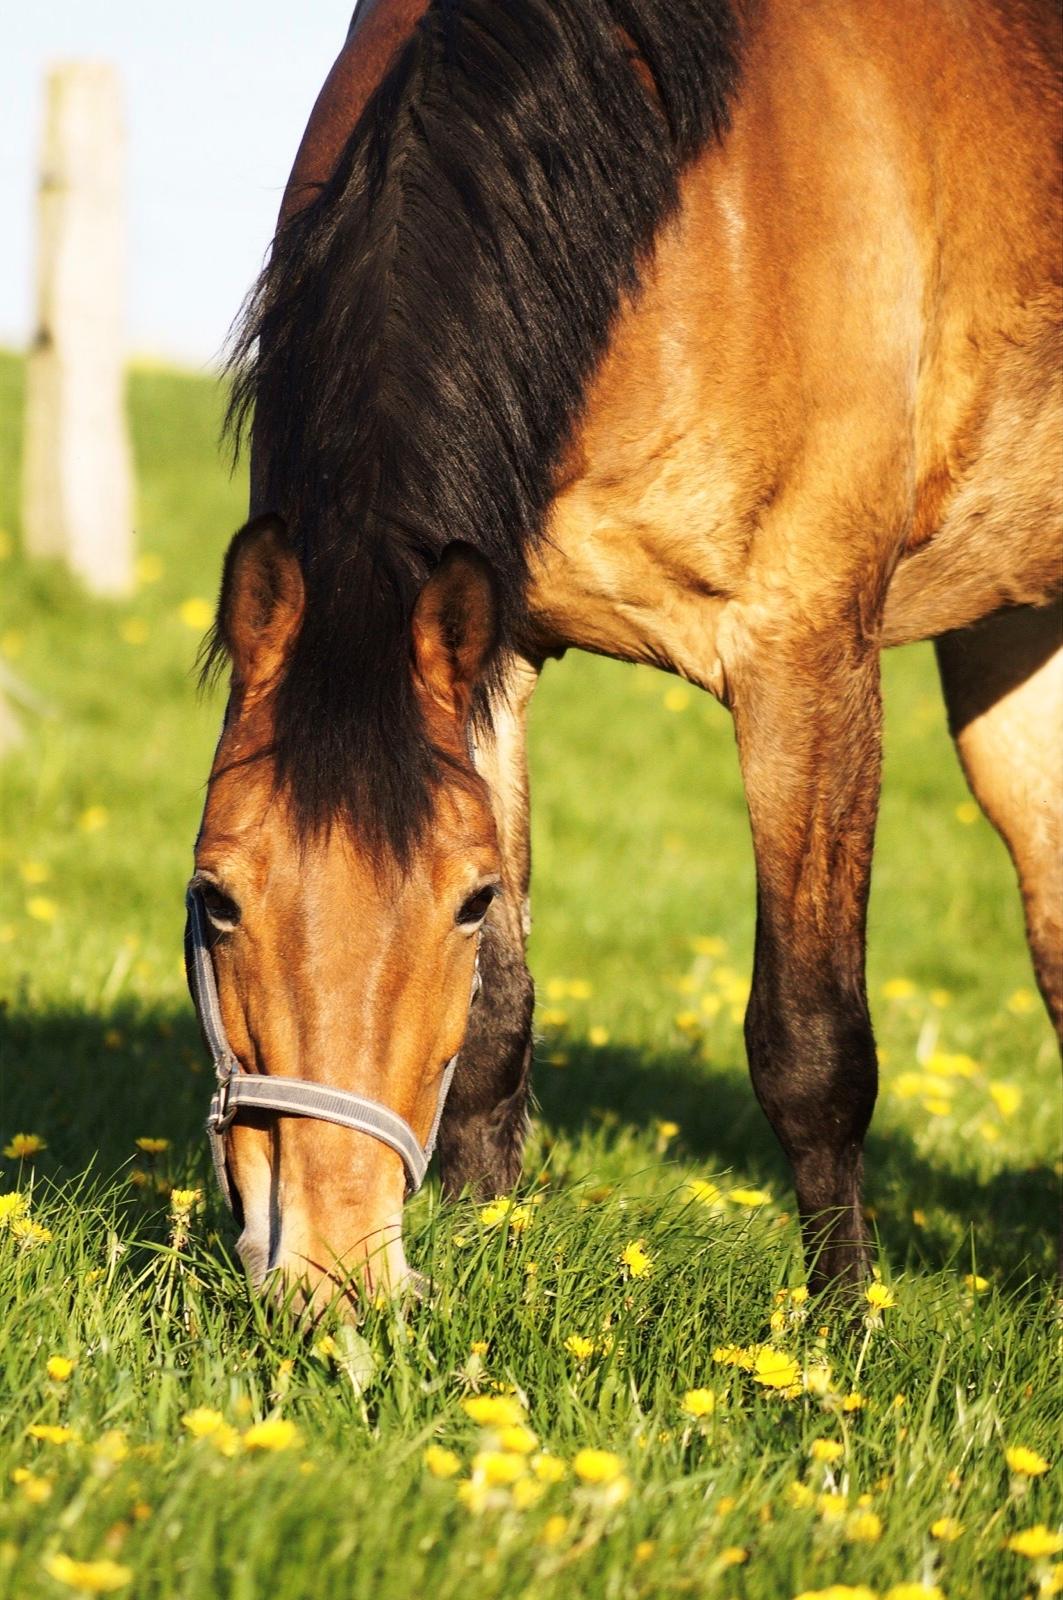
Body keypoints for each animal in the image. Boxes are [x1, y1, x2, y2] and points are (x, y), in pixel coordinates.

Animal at [191, 0, 1063, 1312]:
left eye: (460, 901)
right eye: (216, 896)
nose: (334, 1271)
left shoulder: (805, 660)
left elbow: (813, 1043)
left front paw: (841, 1328)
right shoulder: (495, 652)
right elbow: (496, 1026)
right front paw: (486, 1254)